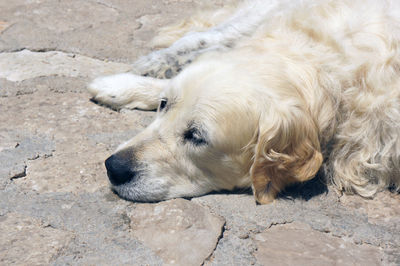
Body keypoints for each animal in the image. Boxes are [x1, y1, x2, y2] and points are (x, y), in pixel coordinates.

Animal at [89, 0, 400, 204]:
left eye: (197, 137)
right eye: (165, 105)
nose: (113, 167)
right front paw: (120, 85)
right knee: (206, 36)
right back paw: (158, 60)